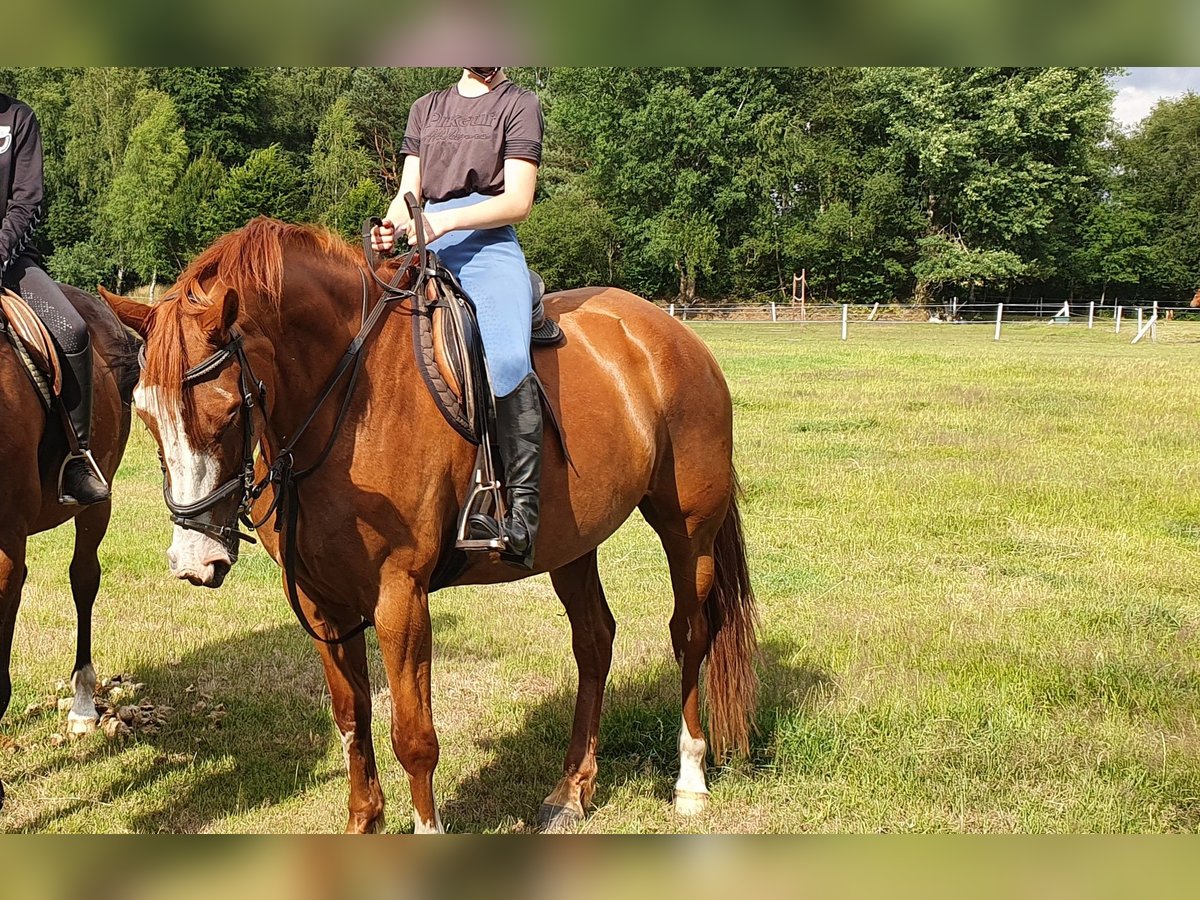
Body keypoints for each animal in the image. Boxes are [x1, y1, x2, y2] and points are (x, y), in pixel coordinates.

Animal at [105, 220, 758, 840]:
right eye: (145, 415)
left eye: (227, 411)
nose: (194, 560)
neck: (346, 401)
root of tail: (671, 334)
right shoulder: (320, 603)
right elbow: (352, 719)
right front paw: (362, 822)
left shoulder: (401, 595)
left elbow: (413, 735)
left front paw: (426, 829)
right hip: (573, 545)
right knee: (595, 642)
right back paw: (571, 791)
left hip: (688, 531)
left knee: (690, 634)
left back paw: (690, 779)